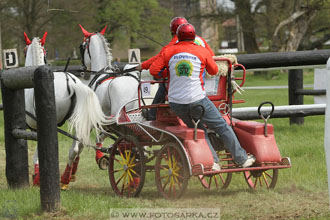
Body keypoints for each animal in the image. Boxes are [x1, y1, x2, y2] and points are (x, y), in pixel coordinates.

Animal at [23, 32, 111, 189]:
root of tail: (72, 82)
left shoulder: (37, 127)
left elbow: (39, 151)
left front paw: (37, 177)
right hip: (77, 121)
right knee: (76, 147)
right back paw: (66, 178)